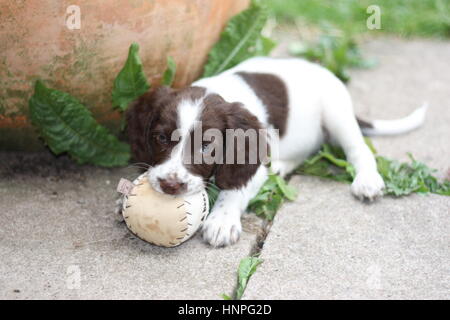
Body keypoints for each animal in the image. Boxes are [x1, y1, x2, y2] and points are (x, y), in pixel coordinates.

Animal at [125, 57, 426, 248]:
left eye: (207, 146)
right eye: (161, 138)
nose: (169, 185)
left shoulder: (251, 160)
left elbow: (235, 187)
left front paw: (222, 220)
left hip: (337, 112)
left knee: (359, 150)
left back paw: (367, 180)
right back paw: (280, 166)